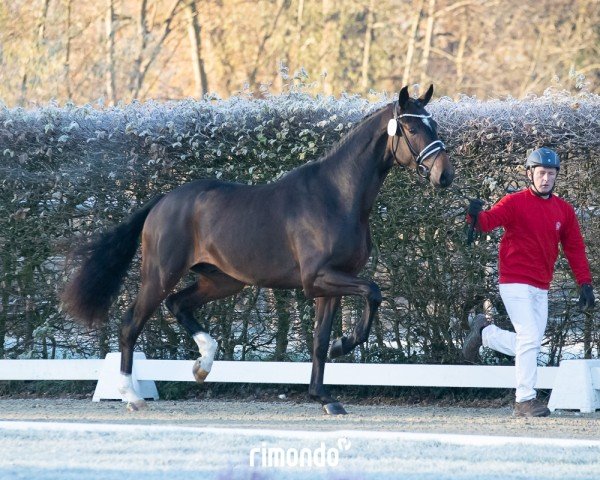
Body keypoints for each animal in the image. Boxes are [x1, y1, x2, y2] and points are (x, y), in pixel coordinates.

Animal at [61, 84, 454, 414]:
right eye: (413, 129)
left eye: (433, 124)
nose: (444, 176)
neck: (338, 196)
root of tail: (162, 202)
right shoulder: (318, 279)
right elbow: (373, 292)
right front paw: (346, 343)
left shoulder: (331, 284)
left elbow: (319, 340)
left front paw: (325, 397)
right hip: (160, 275)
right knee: (131, 323)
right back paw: (132, 395)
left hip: (222, 280)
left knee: (178, 304)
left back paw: (203, 363)